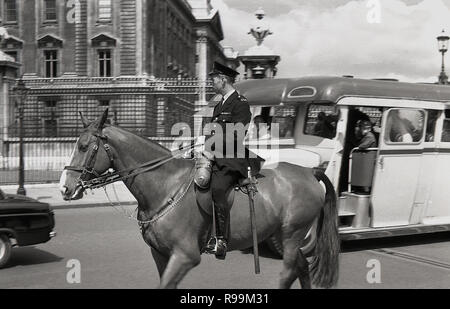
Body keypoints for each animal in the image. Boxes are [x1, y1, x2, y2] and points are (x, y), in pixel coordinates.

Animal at [60, 109, 342, 288]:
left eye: (83, 147)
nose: (65, 188)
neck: (165, 185)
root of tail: (309, 171)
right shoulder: (161, 255)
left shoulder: (185, 256)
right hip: (284, 237)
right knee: (302, 268)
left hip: (293, 235)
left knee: (289, 272)